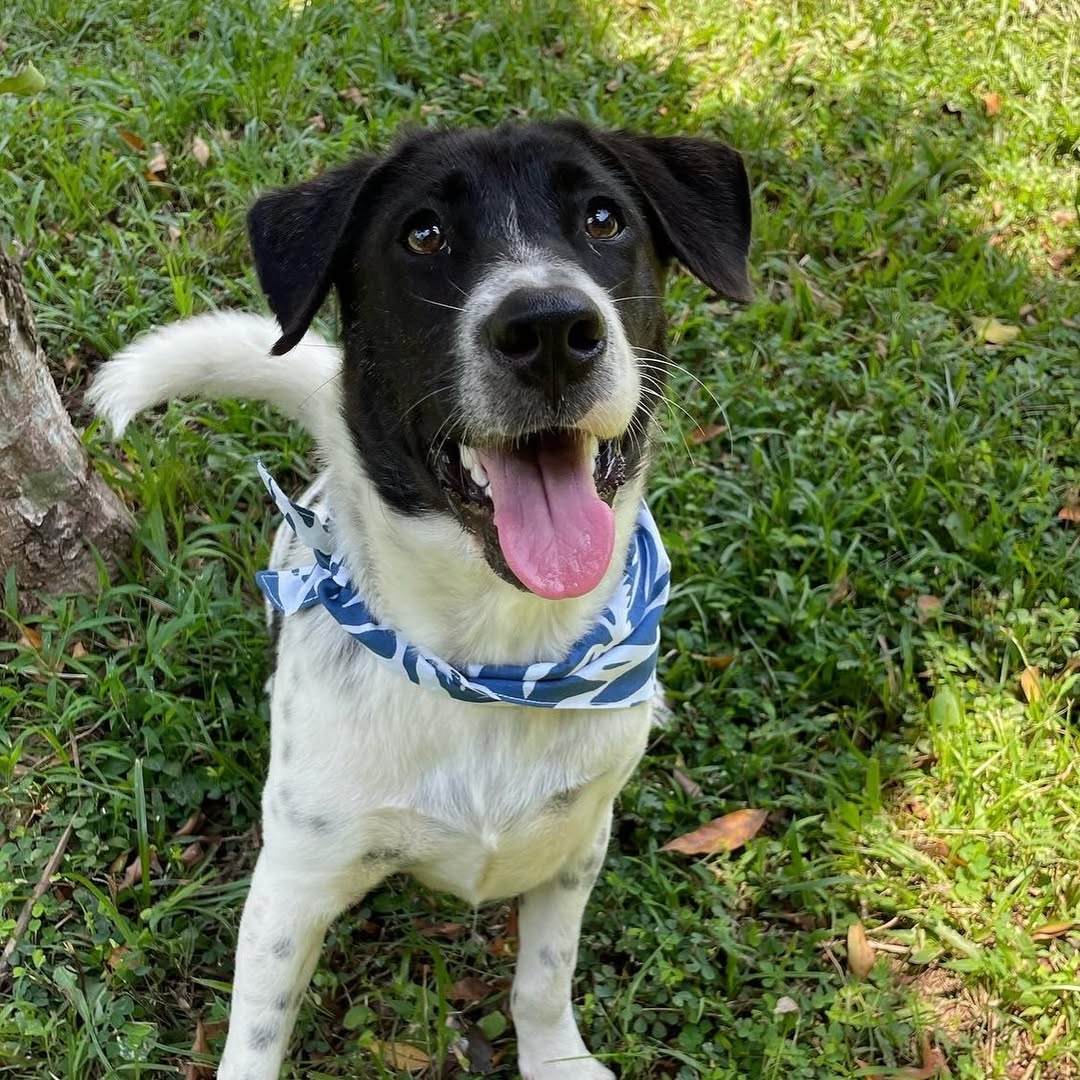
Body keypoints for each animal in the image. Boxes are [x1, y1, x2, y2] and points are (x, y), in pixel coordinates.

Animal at [88, 122, 751, 1075]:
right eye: (423, 235)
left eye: (603, 219)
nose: (550, 329)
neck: (493, 662)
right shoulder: (294, 880)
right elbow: (258, 1025)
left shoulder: (577, 844)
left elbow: (543, 976)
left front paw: (555, 1058)